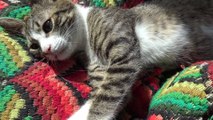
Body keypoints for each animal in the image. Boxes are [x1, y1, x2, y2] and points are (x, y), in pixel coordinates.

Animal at [0, 0, 213, 119]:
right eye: (34, 46)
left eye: (48, 25)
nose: (47, 49)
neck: (85, 40)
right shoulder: (101, 69)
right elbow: (106, 95)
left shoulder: (124, 52)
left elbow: (107, 95)